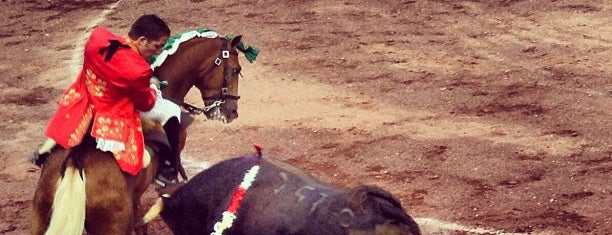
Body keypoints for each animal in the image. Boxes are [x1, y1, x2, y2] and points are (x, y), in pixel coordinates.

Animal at [30, 31, 246, 235]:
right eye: (236, 70)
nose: (232, 112)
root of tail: (74, 161)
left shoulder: (135, 198)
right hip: (113, 226)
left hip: (41, 217)